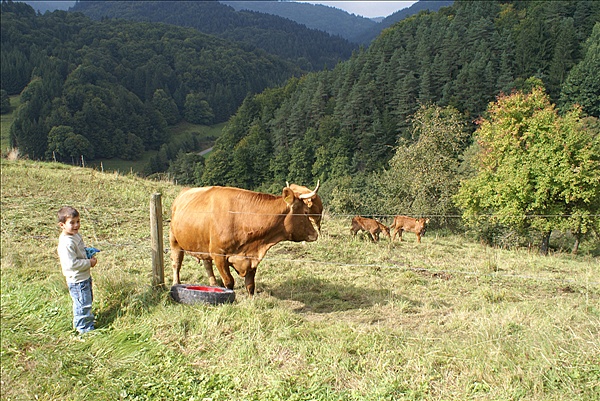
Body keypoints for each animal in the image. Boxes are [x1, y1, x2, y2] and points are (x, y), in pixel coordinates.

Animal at [169, 184, 318, 294]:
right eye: (305, 212)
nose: (315, 234)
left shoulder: (251, 259)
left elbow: (250, 285)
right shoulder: (219, 255)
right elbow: (229, 282)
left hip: (203, 245)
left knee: (207, 264)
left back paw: (214, 284)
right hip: (174, 241)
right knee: (176, 264)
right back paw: (176, 283)